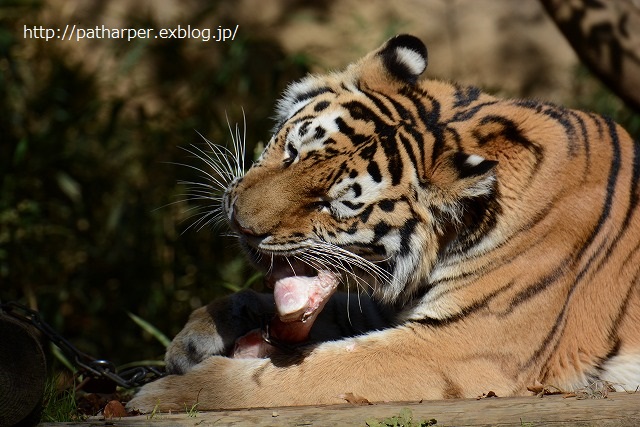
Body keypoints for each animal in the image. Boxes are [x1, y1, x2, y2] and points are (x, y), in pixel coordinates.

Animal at [126, 34, 640, 412]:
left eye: (334, 205)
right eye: (291, 151)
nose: (240, 224)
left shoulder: (453, 343)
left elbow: (311, 370)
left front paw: (171, 394)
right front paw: (193, 338)